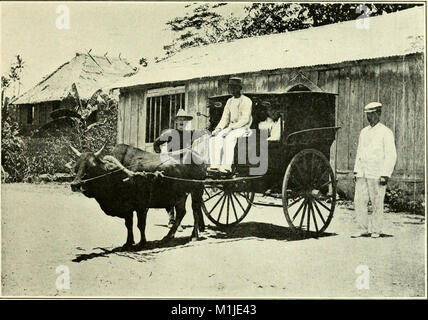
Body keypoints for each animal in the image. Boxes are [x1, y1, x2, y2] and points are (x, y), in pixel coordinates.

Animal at [70, 142, 206, 250]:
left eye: (92, 166)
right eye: (76, 167)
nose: (75, 185)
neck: (117, 176)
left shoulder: (142, 206)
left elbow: (140, 225)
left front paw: (142, 242)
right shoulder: (128, 209)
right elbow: (128, 224)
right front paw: (128, 242)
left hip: (197, 189)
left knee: (195, 210)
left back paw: (194, 235)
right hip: (181, 194)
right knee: (181, 212)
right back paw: (168, 236)